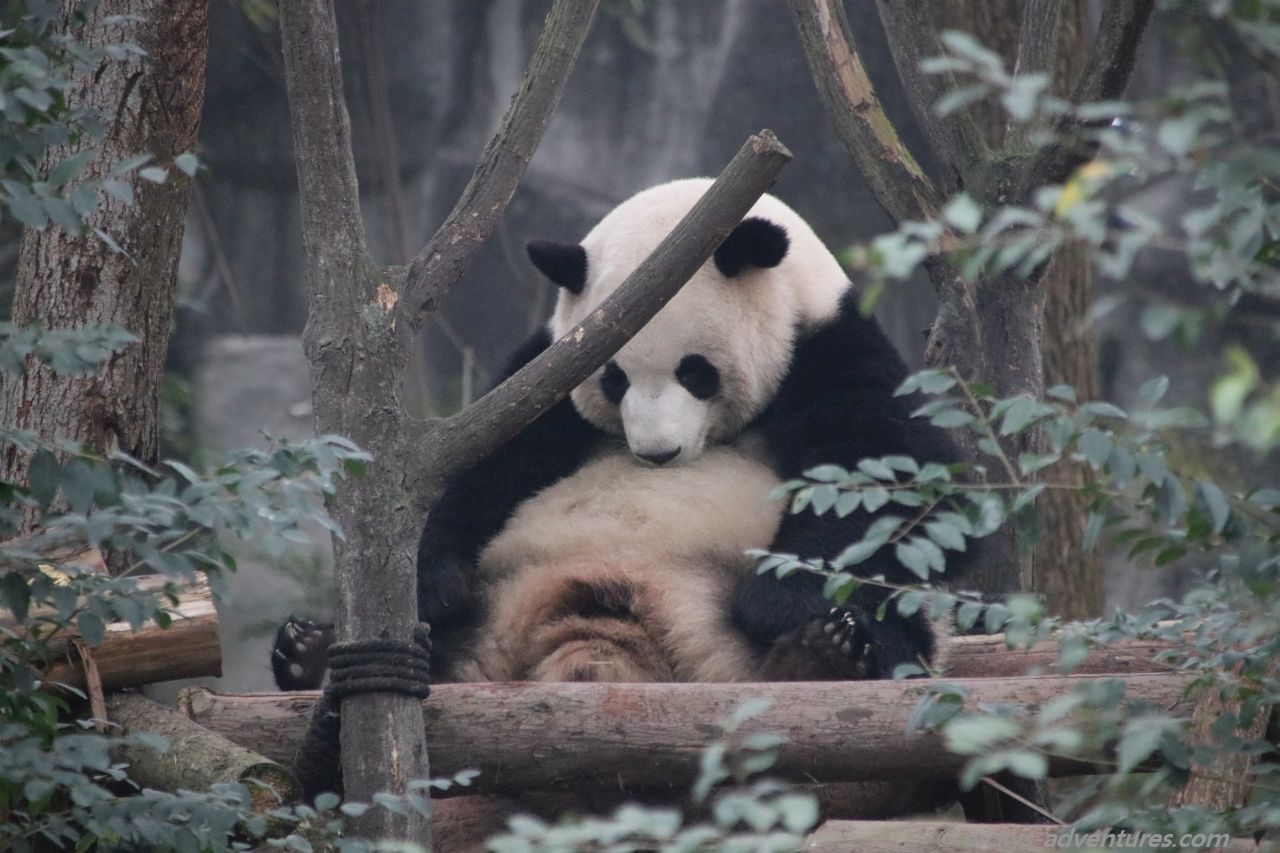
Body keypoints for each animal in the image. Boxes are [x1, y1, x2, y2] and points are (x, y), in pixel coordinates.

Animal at [272, 178, 969, 691]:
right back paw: (313, 654)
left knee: (897, 624)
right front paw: (429, 582)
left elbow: (898, 484)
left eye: (696, 372)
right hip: (499, 599)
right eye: (613, 378)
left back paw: (826, 651)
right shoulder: (543, 373)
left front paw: (782, 599)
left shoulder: (829, 347)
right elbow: (475, 471)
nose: (656, 454)